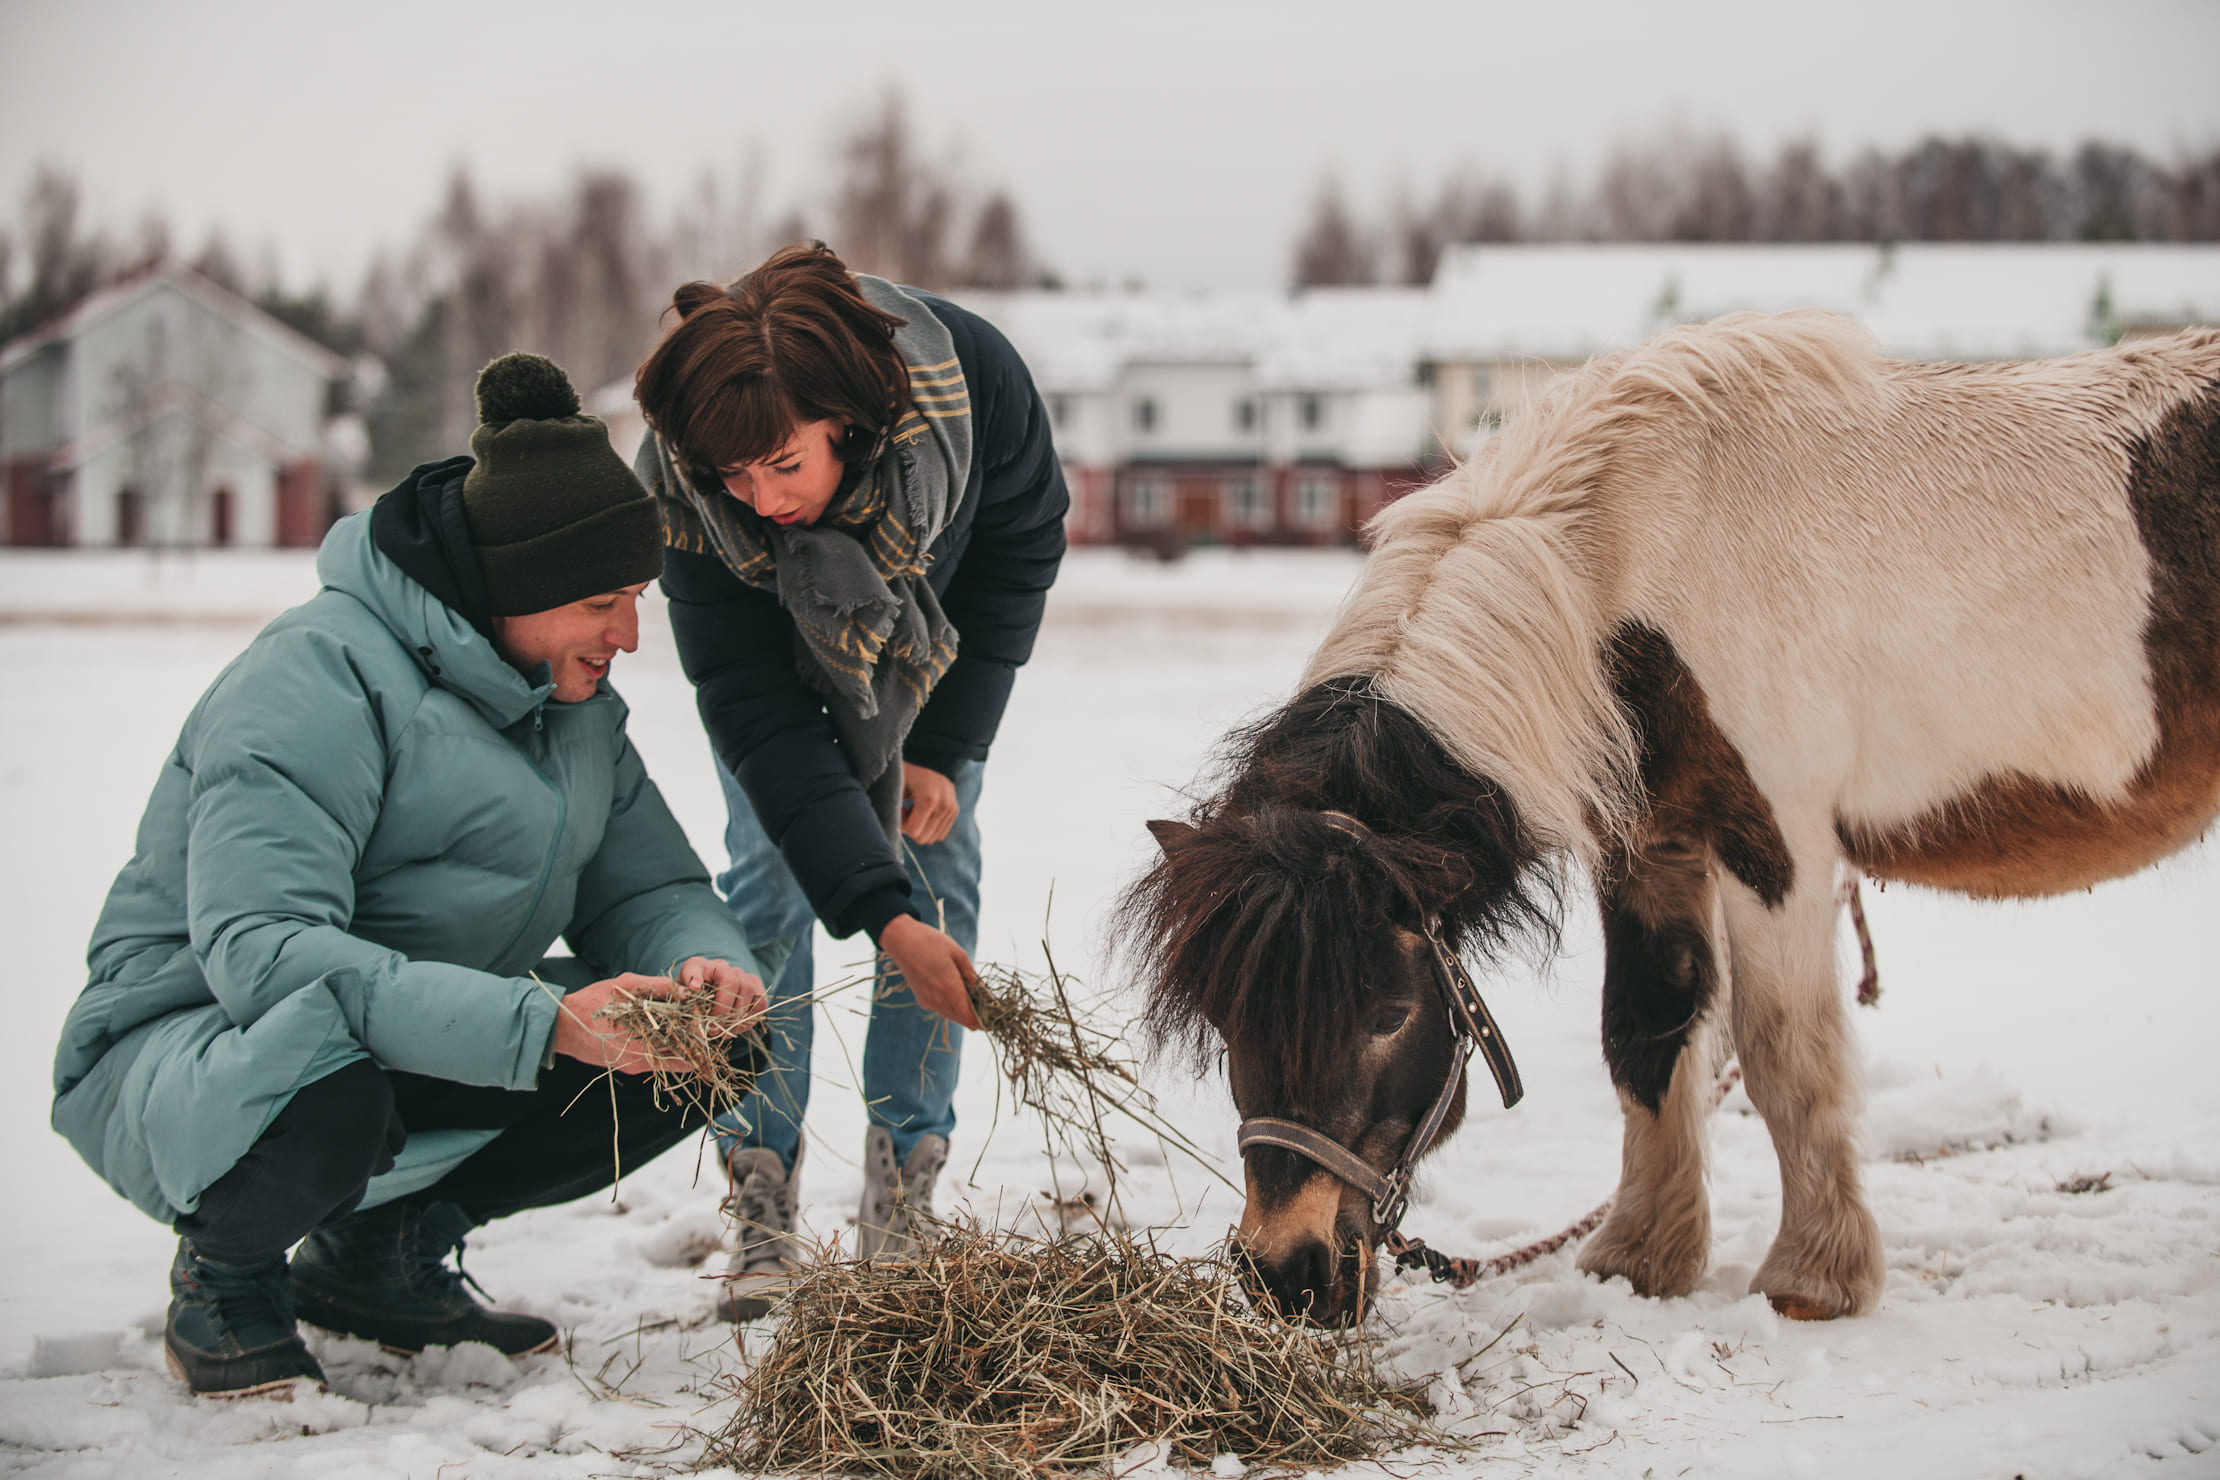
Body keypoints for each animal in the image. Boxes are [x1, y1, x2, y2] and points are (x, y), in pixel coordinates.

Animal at [1127, 315, 2220, 1331]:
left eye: (1389, 1013)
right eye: (1224, 1013)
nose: (1287, 1272)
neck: (1644, 555)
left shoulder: (1776, 842)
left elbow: (1784, 1055)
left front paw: (1814, 1278)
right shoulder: (1648, 845)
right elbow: (1645, 1033)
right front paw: (1641, 1260)